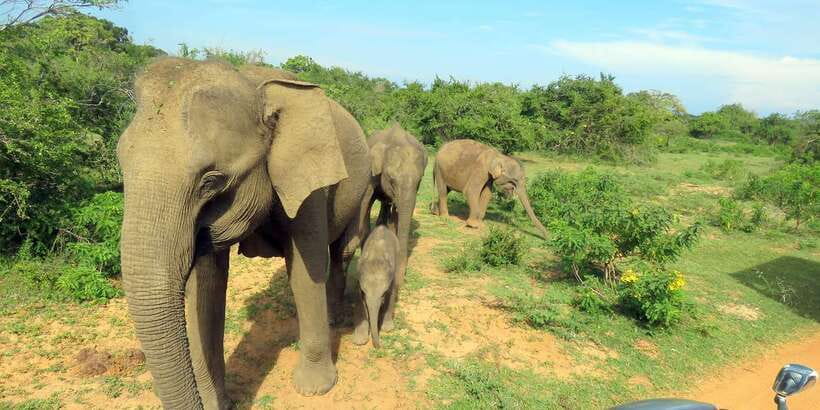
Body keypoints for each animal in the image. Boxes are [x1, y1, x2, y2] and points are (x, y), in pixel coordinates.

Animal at [116, 57, 370, 408]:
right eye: (120, 164)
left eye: (211, 181)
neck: (252, 86)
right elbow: (207, 287)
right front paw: (217, 402)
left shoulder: (307, 183)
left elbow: (306, 270)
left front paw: (314, 390)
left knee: (342, 251)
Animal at [351, 124, 427, 332]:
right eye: (391, 179)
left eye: (419, 181)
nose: (400, 281)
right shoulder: (371, 175)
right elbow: (365, 205)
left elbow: (399, 217)